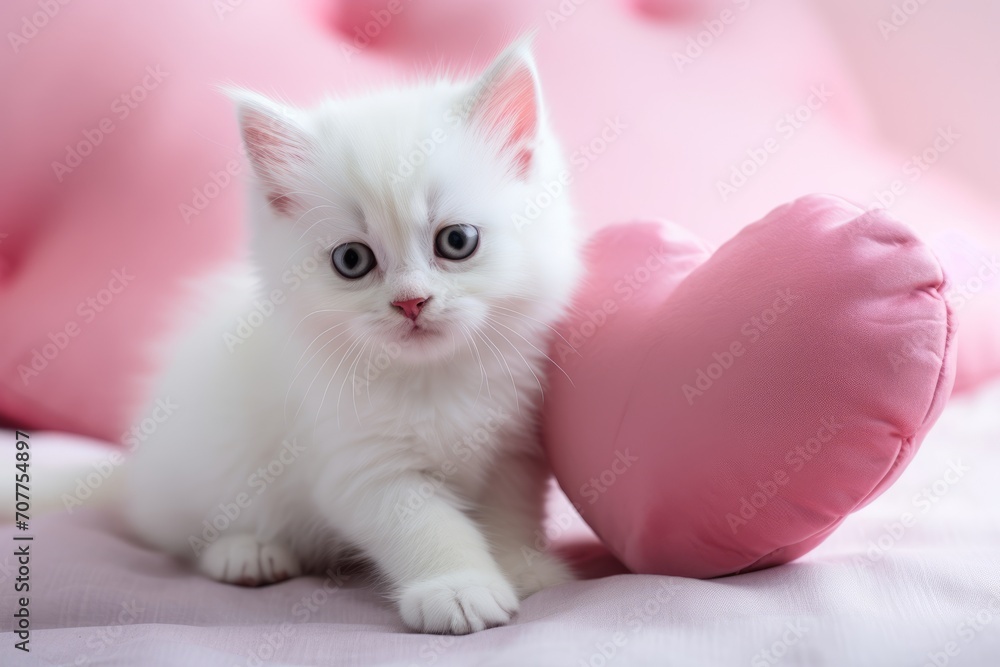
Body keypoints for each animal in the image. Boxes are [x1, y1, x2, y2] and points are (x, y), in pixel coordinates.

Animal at [121, 39, 584, 636]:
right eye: (352, 260)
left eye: (456, 241)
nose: (410, 302)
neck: (432, 380)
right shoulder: (359, 465)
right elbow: (427, 526)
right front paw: (458, 588)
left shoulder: (514, 449)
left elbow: (510, 512)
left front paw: (520, 567)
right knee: (190, 533)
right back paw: (246, 553)